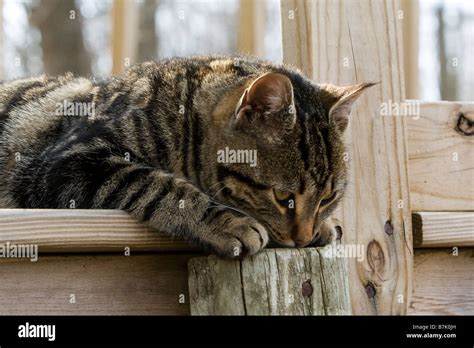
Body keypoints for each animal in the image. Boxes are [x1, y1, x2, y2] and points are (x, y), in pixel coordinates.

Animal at [0, 55, 372, 256]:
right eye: (283, 197)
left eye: (328, 199)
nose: (302, 238)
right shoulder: (66, 162)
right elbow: (156, 185)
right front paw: (226, 222)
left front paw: (324, 227)